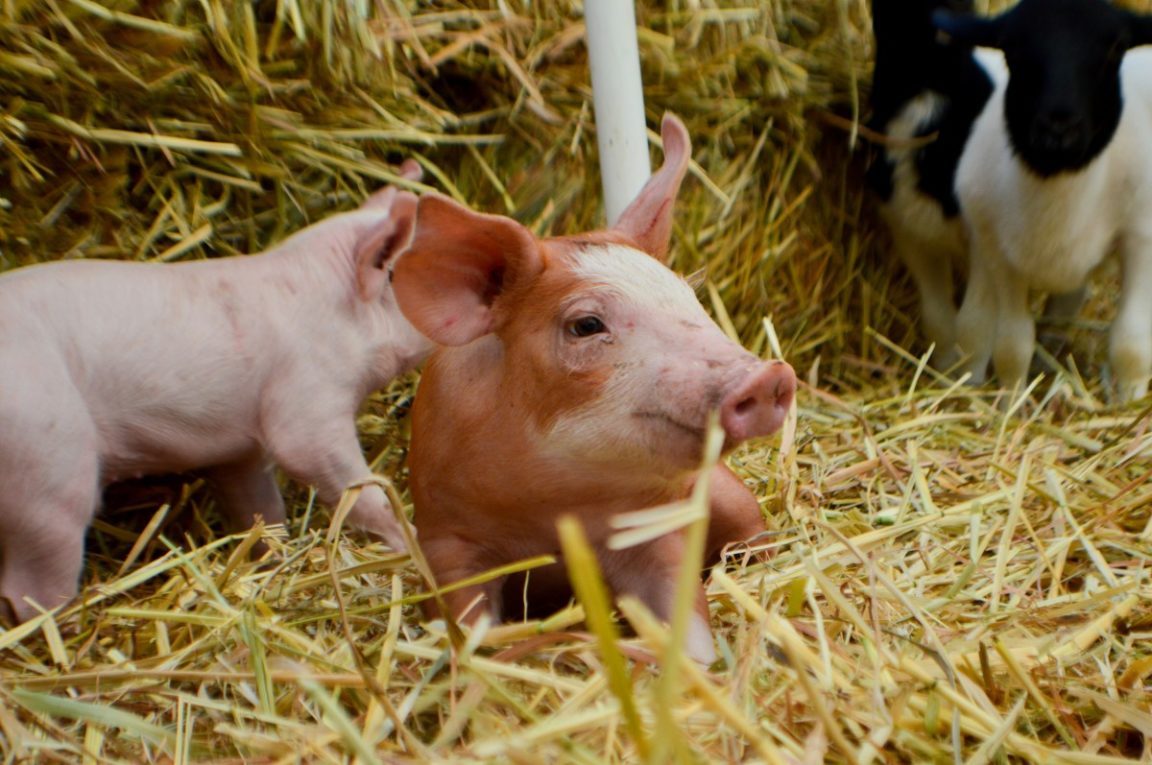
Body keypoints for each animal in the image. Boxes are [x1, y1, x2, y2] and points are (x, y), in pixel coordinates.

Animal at [0, 165, 430, 624]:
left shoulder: (241, 451)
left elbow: (261, 508)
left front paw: (273, 558)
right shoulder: (307, 400)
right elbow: (341, 476)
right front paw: (411, 542)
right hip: (50, 474)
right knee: (32, 591)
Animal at [391, 114, 797, 664]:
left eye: (690, 299)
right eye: (585, 325)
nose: (769, 375)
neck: (556, 505)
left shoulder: (655, 528)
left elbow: (684, 611)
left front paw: (699, 665)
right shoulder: (446, 539)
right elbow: (467, 623)